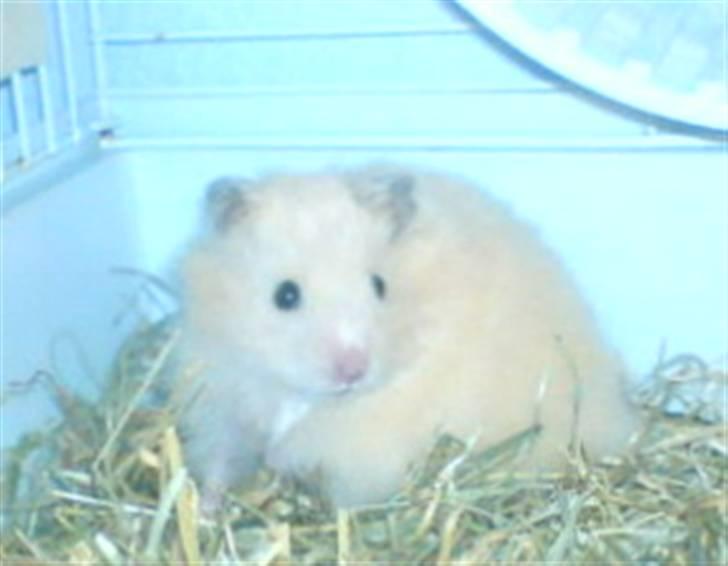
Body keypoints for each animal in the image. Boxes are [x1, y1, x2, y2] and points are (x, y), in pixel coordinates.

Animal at [174, 165, 637, 509]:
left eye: (380, 285)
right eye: (285, 295)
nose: (353, 369)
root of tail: (619, 420)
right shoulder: (220, 403)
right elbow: (217, 467)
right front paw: (208, 512)